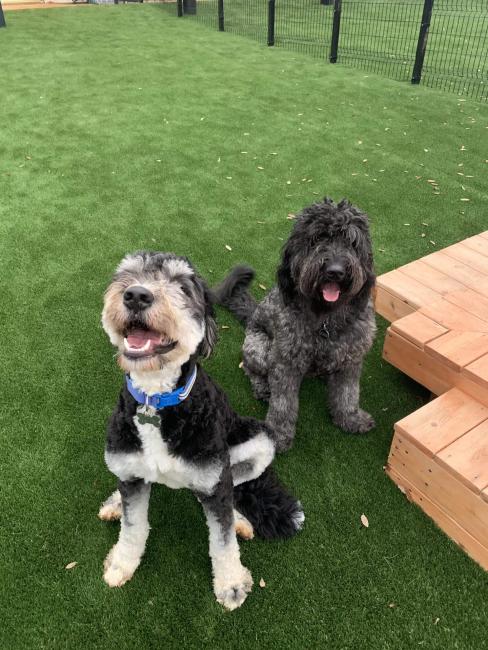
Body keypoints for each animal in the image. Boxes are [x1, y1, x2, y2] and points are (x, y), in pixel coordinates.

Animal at [97, 252, 304, 608]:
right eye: (126, 275)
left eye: (182, 286)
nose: (136, 295)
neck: (156, 400)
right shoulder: (130, 474)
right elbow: (133, 527)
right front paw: (122, 564)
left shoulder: (217, 478)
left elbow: (222, 540)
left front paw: (231, 584)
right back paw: (114, 503)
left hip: (258, 441)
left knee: (233, 484)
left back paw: (239, 519)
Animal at [214, 197, 378, 450]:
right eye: (317, 239)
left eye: (351, 242)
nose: (335, 271)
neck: (326, 318)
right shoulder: (285, 363)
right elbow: (283, 404)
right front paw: (278, 435)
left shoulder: (351, 359)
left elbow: (348, 394)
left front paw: (350, 418)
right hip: (260, 348)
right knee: (251, 369)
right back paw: (263, 388)